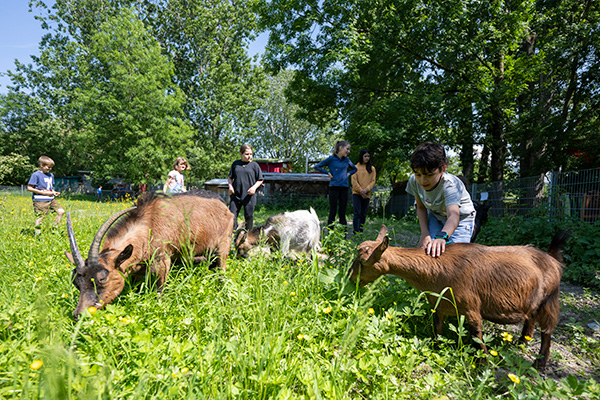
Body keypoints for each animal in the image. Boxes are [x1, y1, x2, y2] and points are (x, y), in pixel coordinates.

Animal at [65, 190, 233, 318]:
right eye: (75, 282)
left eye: (102, 278)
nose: (79, 315)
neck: (149, 224)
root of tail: (225, 207)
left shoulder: (163, 261)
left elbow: (160, 290)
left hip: (223, 244)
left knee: (222, 269)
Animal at [346, 225, 568, 368]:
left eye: (364, 261)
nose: (350, 278)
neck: (437, 270)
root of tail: (552, 259)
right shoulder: (438, 304)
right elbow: (437, 328)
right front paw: (435, 348)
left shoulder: (471, 307)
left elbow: (477, 335)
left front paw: (482, 364)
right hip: (532, 302)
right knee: (530, 321)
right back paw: (521, 343)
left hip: (549, 299)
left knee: (547, 330)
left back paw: (540, 362)